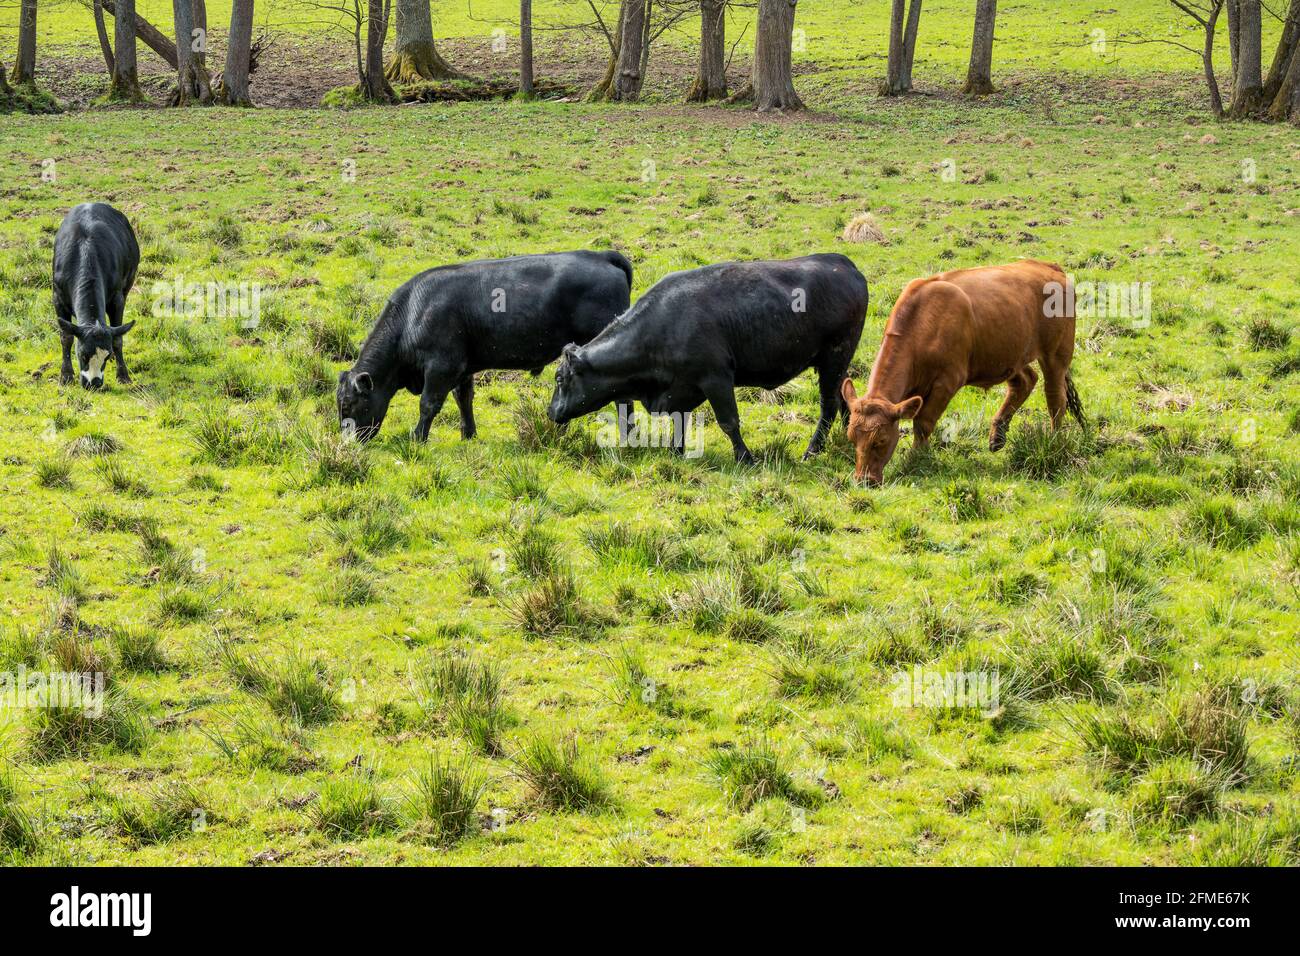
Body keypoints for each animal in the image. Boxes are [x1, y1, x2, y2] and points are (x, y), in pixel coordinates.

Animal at [52, 204, 139, 390]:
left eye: (105, 356)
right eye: (83, 355)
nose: (94, 383)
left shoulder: (117, 300)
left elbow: (117, 339)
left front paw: (123, 375)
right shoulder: (58, 298)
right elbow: (66, 337)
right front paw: (66, 375)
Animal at [335, 247, 634, 442]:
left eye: (348, 406)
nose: (347, 444)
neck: (412, 314)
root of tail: (601, 256)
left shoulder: (441, 367)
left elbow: (428, 404)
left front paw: (418, 437)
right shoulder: (462, 368)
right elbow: (463, 399)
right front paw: (468, 434)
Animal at [543, 254, 868, 463]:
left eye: (559, 378)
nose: (551, 411)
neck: (662, 325)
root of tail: (844, 264)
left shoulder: (716, 380)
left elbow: (729, 422)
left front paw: (745, 458)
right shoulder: (681, 389)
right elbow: (679, 421)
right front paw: (676, 453)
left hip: (833, 360)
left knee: (828, 406)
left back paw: (811, 451)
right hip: (836, 366)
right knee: (842, 401)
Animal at [837, 260, 1081, 486]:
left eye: (880, 440)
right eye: (851, 439)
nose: (864, 480)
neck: (922, 324)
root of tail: (1048, 266)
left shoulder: (948, 381)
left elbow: (923, 422)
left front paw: (916, 457)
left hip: (1056, 355)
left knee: (1055, 398)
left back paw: (1054, 440)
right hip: (1008, 355)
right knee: (1025, 382)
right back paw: (997, 436)